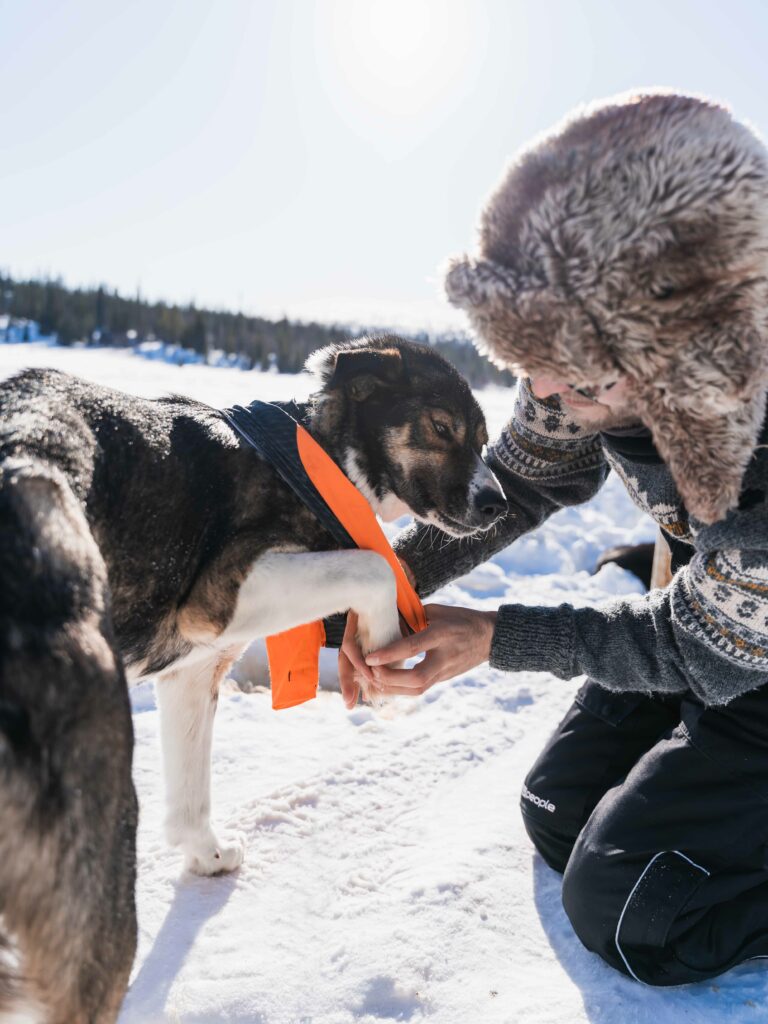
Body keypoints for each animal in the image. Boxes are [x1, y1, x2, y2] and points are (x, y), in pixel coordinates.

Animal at [0, 335, 507, 1024]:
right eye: (442, 428)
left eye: (484, 440)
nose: (498, 502)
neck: (313, 455)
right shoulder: (223, 594)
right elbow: (377, 565)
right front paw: (380, 654)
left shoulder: (193, 669)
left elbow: (191, 796)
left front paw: (207, 856)